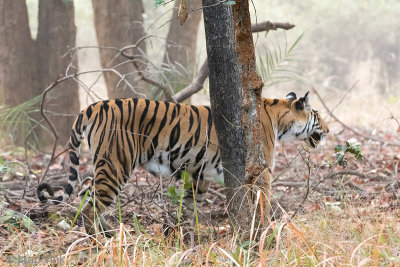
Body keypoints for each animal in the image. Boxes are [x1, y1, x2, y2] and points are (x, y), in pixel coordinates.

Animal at [36, 92, 328, 237]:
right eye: (318, 115)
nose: (327, 130)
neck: (279, 121)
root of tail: (94, 106)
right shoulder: (261, 169)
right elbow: (263, 200)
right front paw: (265, 227)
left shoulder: (199, 173)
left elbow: (190, 205)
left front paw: (187, 230)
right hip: (115, 165)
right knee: (90, 206)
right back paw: (100, 240)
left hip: (105, 166)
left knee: (85, 195)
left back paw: (108, 233)